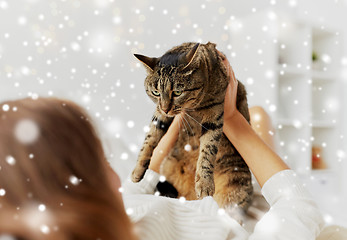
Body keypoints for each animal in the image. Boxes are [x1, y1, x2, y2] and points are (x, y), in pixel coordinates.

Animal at [132, 42, 254, 211]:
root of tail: (189, 199)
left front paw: (204, 183)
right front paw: (137, 170)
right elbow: (149, 139)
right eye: (156, 92)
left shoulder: (214, 117)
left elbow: (207, 150)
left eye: (177, 92)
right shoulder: (160, 115)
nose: (165, 108)